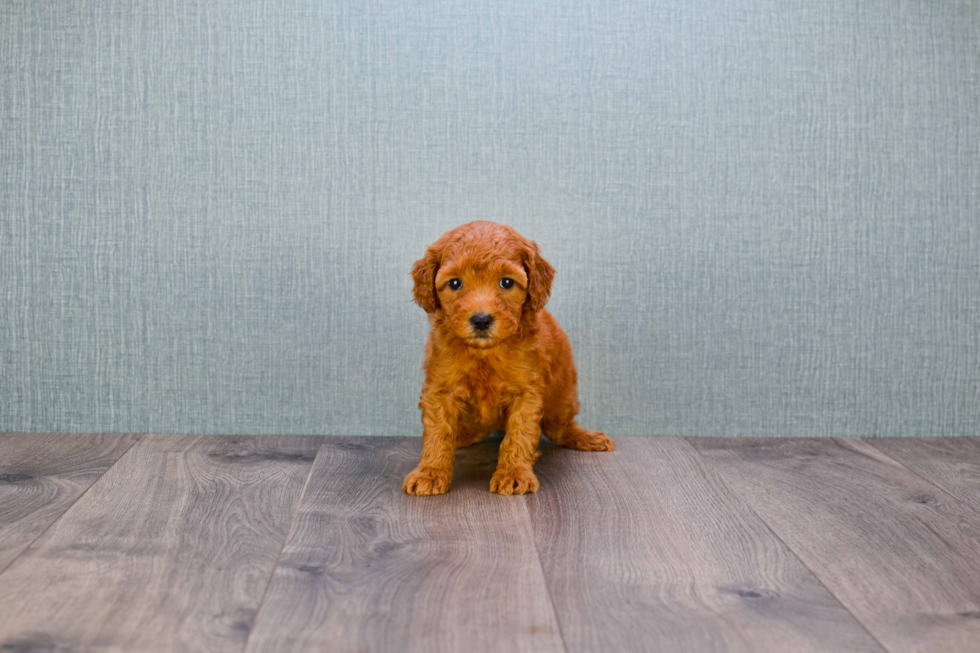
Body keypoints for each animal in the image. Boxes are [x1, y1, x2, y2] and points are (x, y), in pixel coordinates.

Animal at [402, 219, 608, 494]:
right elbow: (437, 432)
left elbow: (518, 435)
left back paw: (585, 437)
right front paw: (431, 472)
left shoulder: (527, 392)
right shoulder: (440, 389)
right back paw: (462, 435)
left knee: (559, 428)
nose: (481, 320)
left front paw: (514, 473)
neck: (485, 353)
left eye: (507, 283)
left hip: (562, 397)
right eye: (455, 283)